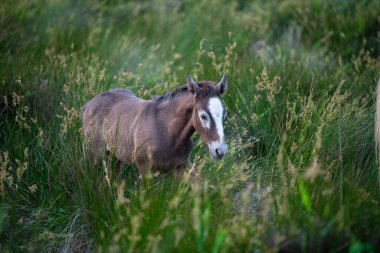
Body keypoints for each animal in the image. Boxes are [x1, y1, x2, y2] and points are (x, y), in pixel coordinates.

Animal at [81, 74, 227, 175]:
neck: (167, 130)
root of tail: (89, 103)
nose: (220, 151)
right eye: (203, 116)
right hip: (94, 155)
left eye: (224, 113)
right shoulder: (145, 171)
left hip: (118, 158)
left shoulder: (181, 167)